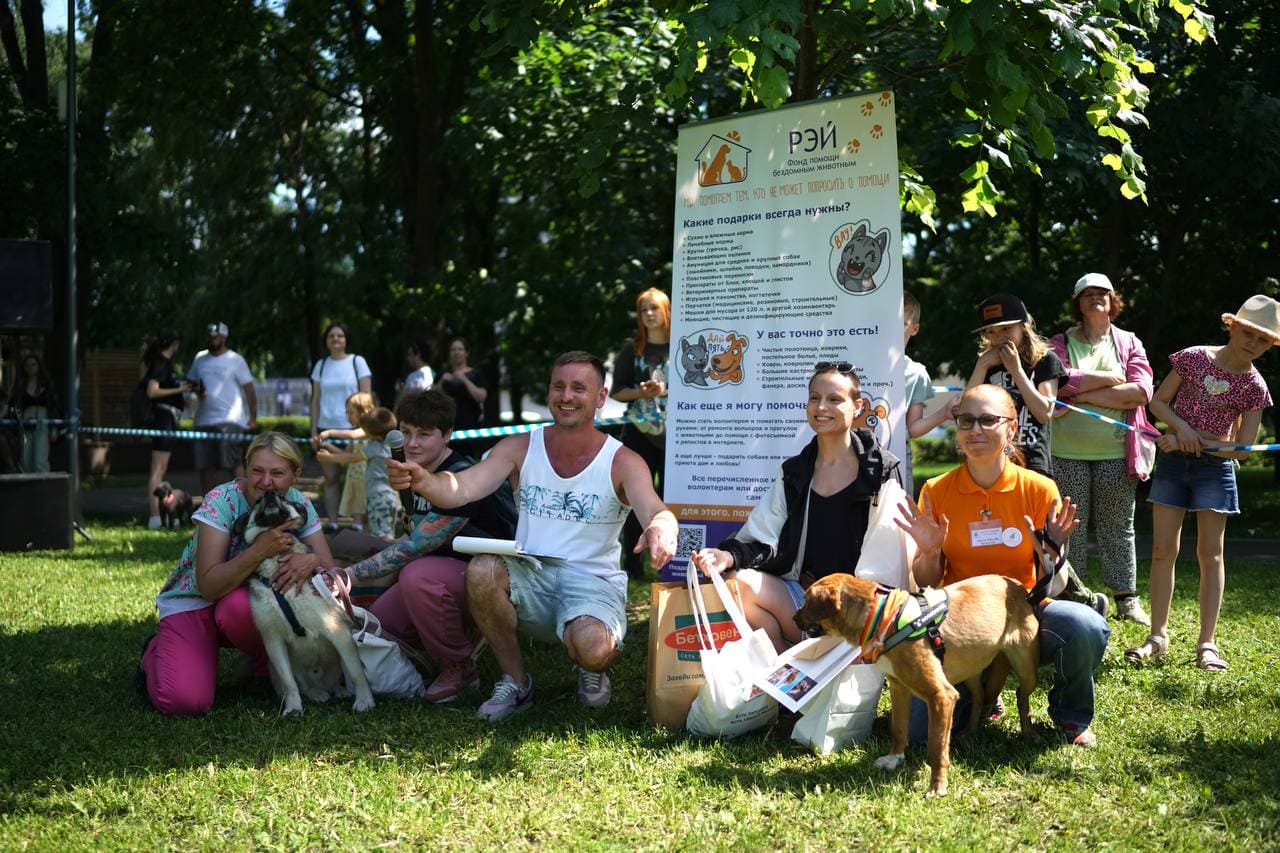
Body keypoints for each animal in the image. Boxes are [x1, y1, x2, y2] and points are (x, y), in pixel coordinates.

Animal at [231, 489, 373, 712]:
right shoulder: (273, 640)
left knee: (341, 679)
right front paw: (293, 708)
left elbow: (357, 672)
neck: (277, 557)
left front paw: (365, 700)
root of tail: (323, 684)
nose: (269, 493)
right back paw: (316, 694)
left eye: (282, 497)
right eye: (257, 500)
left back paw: (341, 690)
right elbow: (289, 682)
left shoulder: (337, 630)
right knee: (303, 686)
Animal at [793, 571, 1044, 799]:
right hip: (970, 666)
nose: (794, 618)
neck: (883, 619)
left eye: (806, 601)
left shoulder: (942, 696)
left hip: (1026, 667)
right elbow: (899, 729)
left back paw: (1029, 732)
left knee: (1021, 697)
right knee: (979, 696)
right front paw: (894, 758)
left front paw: (938, 786)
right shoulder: (899, 687)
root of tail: (1017, 585)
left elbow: (936, 748)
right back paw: (970, 731)